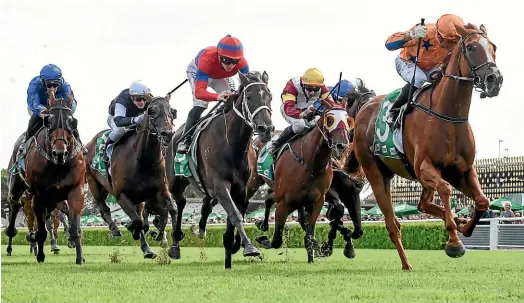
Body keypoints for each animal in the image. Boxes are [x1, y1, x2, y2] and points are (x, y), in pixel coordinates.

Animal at [4, 89, 86, 264]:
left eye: (72, 121)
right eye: (49, 121)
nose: (60, 152)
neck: (58, 164)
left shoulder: (75, 190)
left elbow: (74, 226)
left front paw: (79, 256)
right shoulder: (38, 195)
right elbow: (41, 230)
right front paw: (40, 254)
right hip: (16, 185)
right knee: (15, 204)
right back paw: (12, 239)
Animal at [85, 96, 177, 260]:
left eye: (171, 110)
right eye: (151, 110)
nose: (168, 133)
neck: (142, 161)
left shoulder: (160, 190)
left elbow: (170, 211)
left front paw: (165, 240)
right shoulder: (120, 194)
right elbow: (137, 221)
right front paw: (130, 227)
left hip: (138, 198)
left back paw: (147, 249)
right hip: (93, 183)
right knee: (104, 208)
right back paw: (115, 229)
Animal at [167, 72, 274, 270]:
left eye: (270, 97)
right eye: (249, 97)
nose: (266, 128)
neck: (232, 144)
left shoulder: (240, 188)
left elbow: (234, 216)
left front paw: (233, 246)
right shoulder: (220, 185)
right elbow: (235, 215)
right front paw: (249, 247)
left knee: (205, 204)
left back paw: (200, 229)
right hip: (175, 182)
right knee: (180, 203)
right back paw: (175, 245)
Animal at [255, 102, 352, 264]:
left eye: (348, 120)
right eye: (329, 120)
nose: (342, 145)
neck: (311, 163)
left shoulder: (318, 200)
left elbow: (310, 233)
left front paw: (317, 252)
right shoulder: (284, 202)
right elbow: (276, 241)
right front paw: (262, 238)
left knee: (270, 199)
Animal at [352, 23, 504, 270]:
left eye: (493, 47)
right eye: (471, 47)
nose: (494, 79)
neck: (448, 115)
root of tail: (364, 106)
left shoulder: (462, 171)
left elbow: (483, 201)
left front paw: (463, 225)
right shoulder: (425, 166)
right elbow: (445, 189)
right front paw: (454, 242)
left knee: (423, 205)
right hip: (376, 174)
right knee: (393, 224)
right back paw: (406, 264)